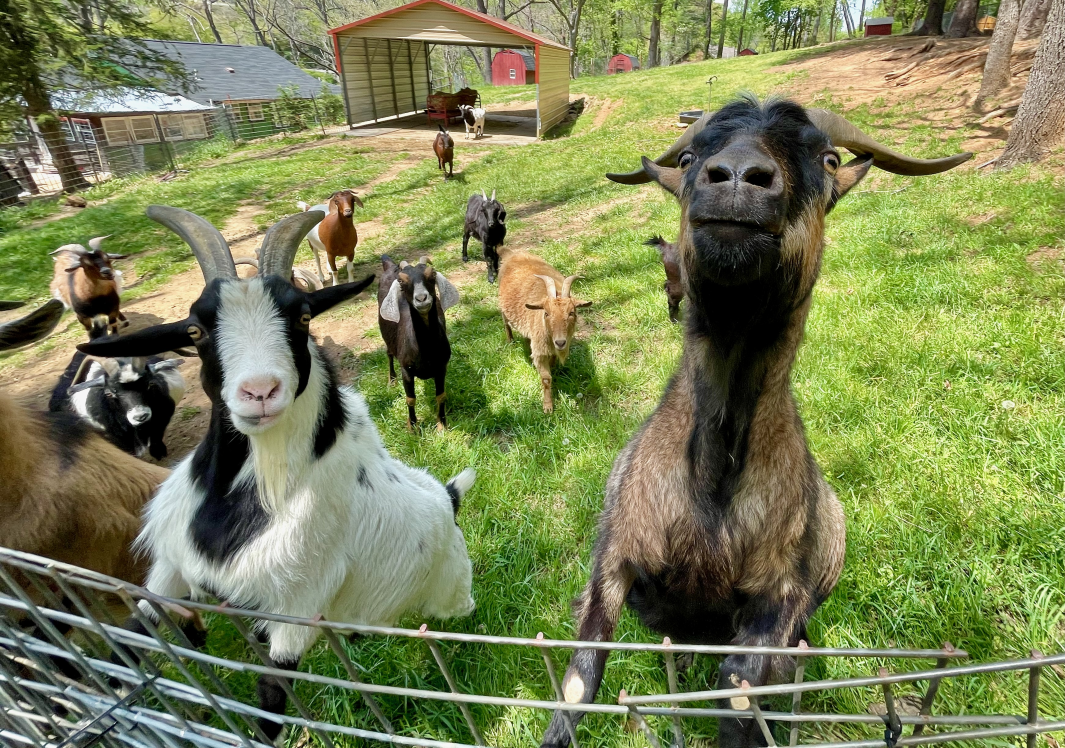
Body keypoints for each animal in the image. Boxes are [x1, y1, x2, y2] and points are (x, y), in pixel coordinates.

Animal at [49, 352, 186, 460]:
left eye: (150, 384)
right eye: (109, 393)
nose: (140, 416)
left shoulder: (162, 417)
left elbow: (157, 436)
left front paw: (159, 452)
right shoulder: (115, 436)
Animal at [378, 255, 460, 431]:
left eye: (432, 274)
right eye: (401, 281)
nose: (421, 299)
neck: (425, 349)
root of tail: (389, 265)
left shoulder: (441, 367)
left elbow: (441, 396)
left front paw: (442, 424)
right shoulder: (406, 369)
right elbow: (410, 399)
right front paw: (413, 427)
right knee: (389, 354)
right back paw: (391, 381)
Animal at [498, 251, 590, 413]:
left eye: (572, 312)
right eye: (546, 313)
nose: (560, 342)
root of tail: (513, 253)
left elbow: (552, 363)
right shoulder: (540, 351)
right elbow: (546, 378)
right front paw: (548, 406)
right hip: (504, 309)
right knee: (506, 323)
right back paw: (510, 341)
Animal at [540, 97, 972, 748]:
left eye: (828, 159)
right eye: (689, 158)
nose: (739, 177)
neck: (712, 487)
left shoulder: (776, 598)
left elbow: (741, 699)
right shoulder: (614, 559)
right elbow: (576, 684)